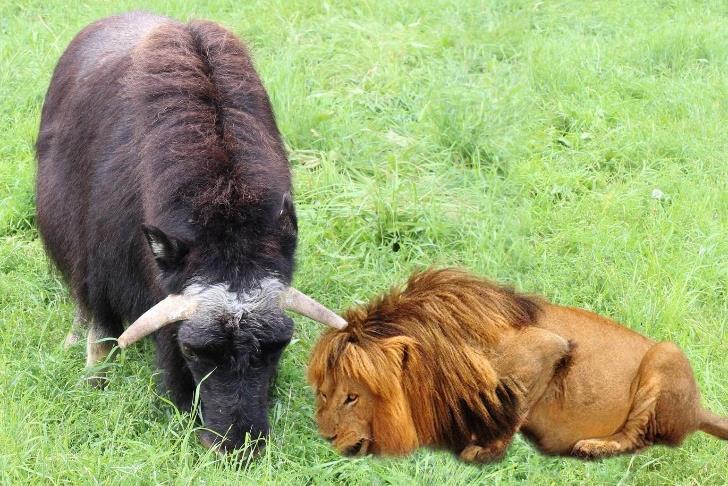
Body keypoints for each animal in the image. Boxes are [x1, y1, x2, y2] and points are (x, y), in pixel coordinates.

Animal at [308, 268, 728, 462]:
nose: (324, 438)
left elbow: (515, 407)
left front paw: (482, 452)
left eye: (352, 398)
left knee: (638, 437)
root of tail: (697, 409)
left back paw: (593, 446)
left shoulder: (548, 349)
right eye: (324, 395)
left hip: (667, 354)